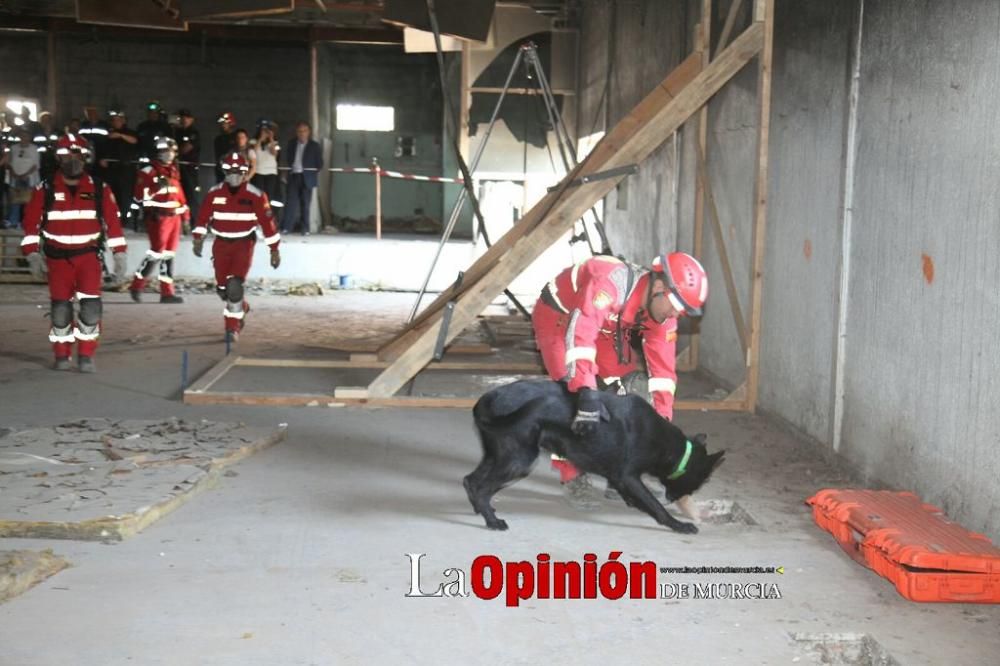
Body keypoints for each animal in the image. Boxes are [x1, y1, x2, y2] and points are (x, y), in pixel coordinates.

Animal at [464, 378, 724, 528]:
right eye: (700, 481)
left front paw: (633, 502)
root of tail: (489, 397)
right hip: (519, 460)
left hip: (499, 454)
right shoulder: (629, 475)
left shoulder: (618, 476)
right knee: (482, 487)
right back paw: (492, 521)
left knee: (471, 481)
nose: (678, 498)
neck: (672, 448)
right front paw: (677, 524)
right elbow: (654, 504)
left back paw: (482, 510)